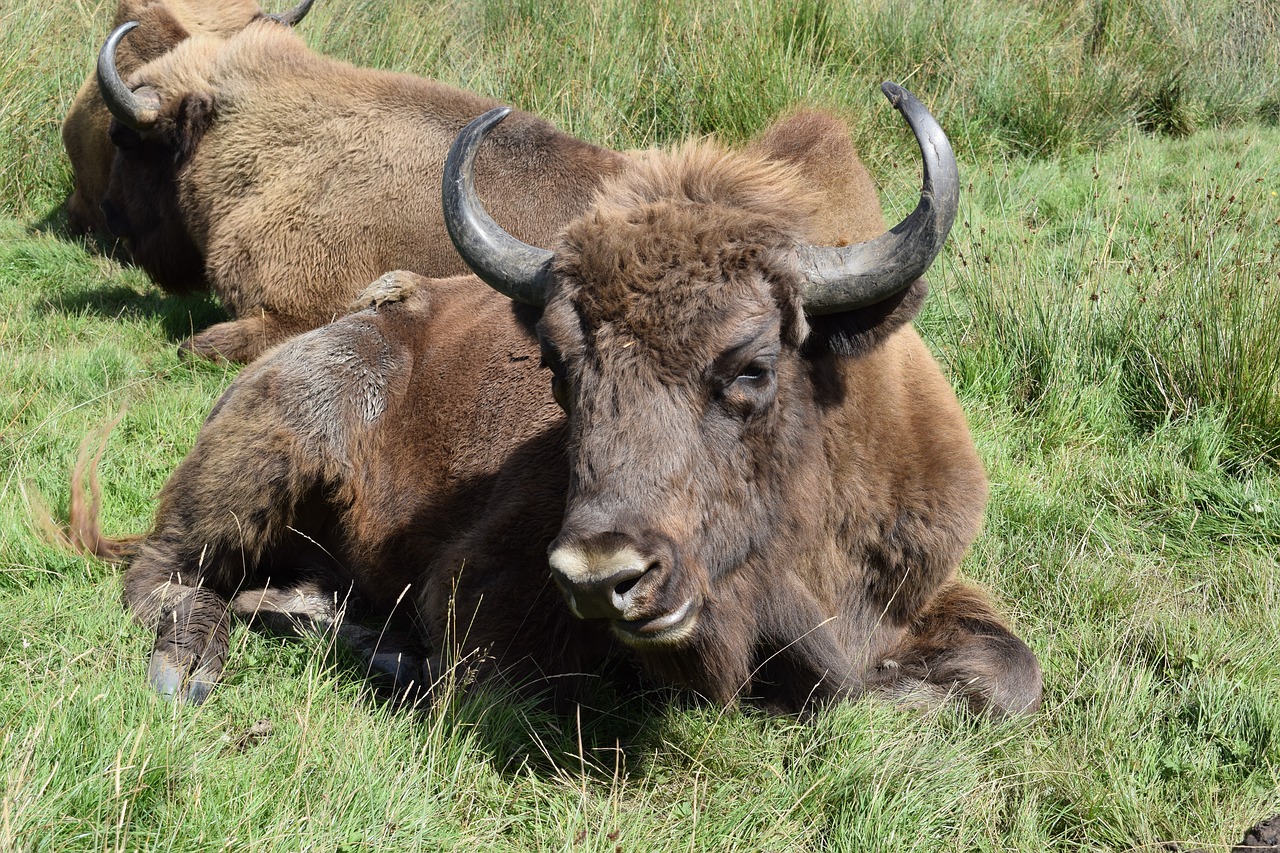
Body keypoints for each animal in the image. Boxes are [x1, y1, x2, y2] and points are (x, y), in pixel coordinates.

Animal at [74, 84, 1044, 712]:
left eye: (752, 366)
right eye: (558, 367)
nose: (602, 574)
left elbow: (1011, 676)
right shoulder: (478, 587)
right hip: (271, 448)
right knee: (166, 570)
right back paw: (193, 670)